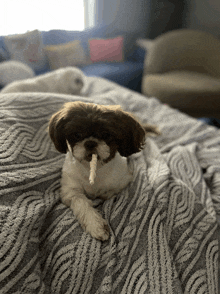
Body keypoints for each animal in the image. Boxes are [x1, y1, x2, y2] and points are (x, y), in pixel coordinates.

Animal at [49, 102, 160, 240]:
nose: (90, 142)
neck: (93, 168)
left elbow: (108, 192)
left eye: (106, 135)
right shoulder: (70, 190)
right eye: (77, 134)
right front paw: (96, 225)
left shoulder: (124, 180)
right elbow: (81, 202)